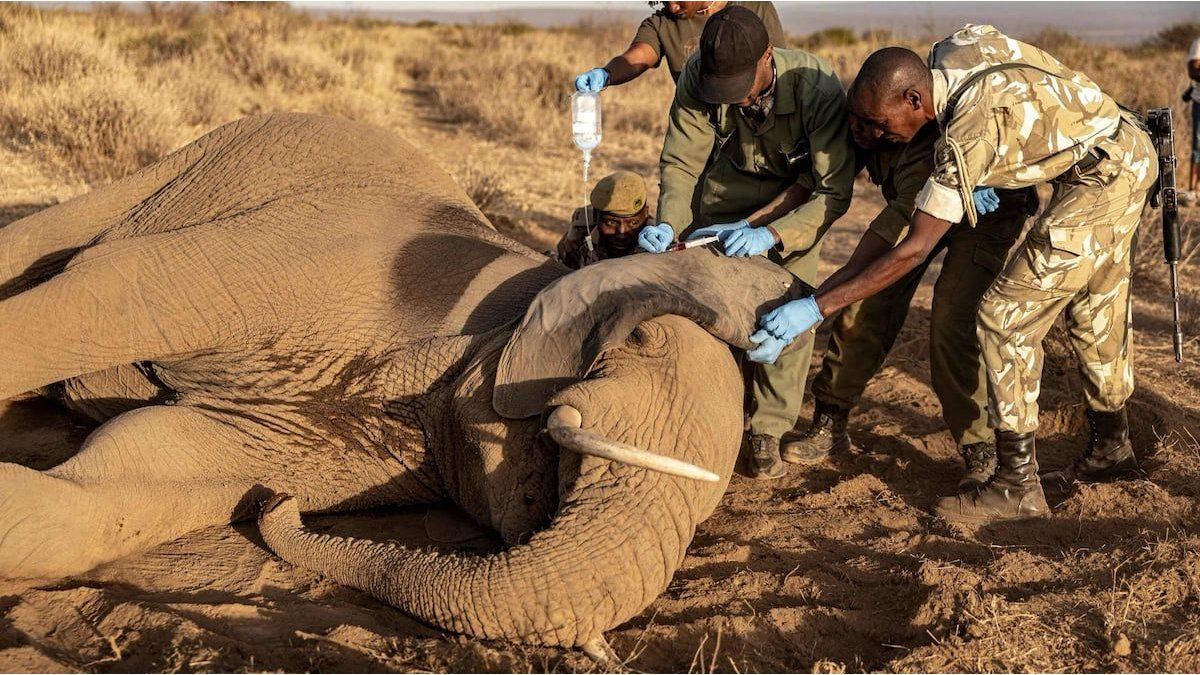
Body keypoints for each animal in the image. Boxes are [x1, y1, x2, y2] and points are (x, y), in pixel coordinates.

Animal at [0, 113, 811, 653]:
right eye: (639, 341)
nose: (281, 509)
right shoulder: (326, 263)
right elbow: (114, 292)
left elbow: (146, 463)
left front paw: (260, 494)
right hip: (188, 165)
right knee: (51, 245)